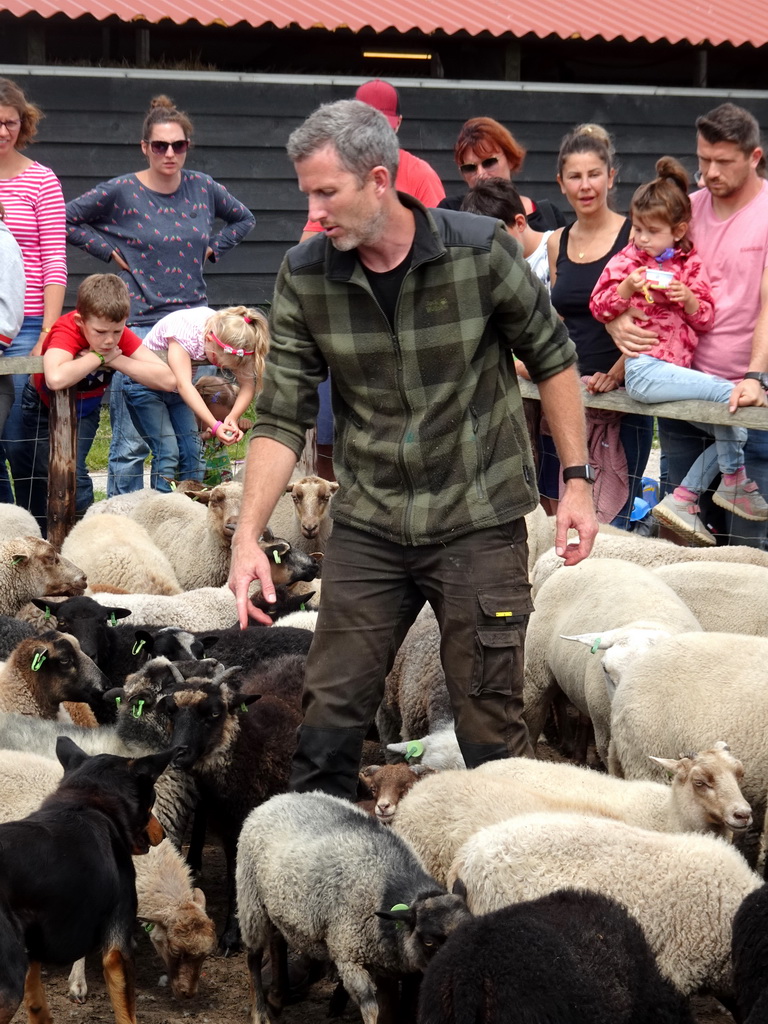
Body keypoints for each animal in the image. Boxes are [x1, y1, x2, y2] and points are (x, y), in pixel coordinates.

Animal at [0, 737, 176, 1024]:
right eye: (152, 800)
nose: (162, 834)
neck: (86, 801)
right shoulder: (118, 946)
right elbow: (127, 1012)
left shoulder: (33, 945)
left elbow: (37, 1003)